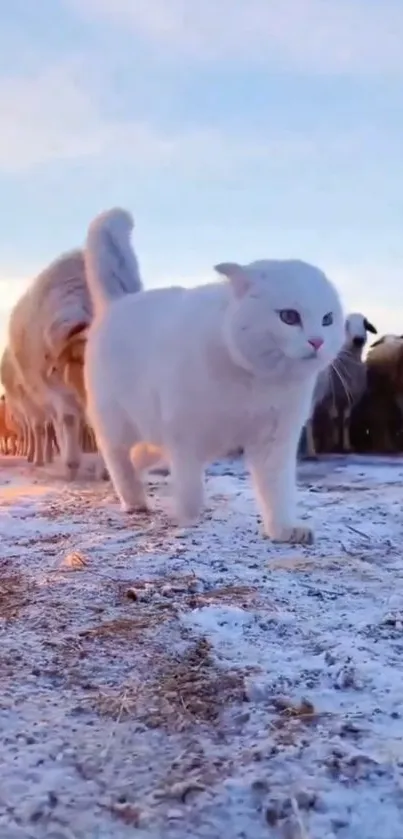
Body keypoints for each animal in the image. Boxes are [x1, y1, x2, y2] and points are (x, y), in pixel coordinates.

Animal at [84, 210, 344, 544]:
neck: (254, 381)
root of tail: (118, 303)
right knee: (119, 460)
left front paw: (284, 528)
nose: (317, 342)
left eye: (327, 319)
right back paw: (134, 500)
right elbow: (190, 490)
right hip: (118, 422)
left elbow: (278, 490)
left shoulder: (275, 440)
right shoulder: (184, 434)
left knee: (142, 454)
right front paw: (188, 518)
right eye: (289, 317)